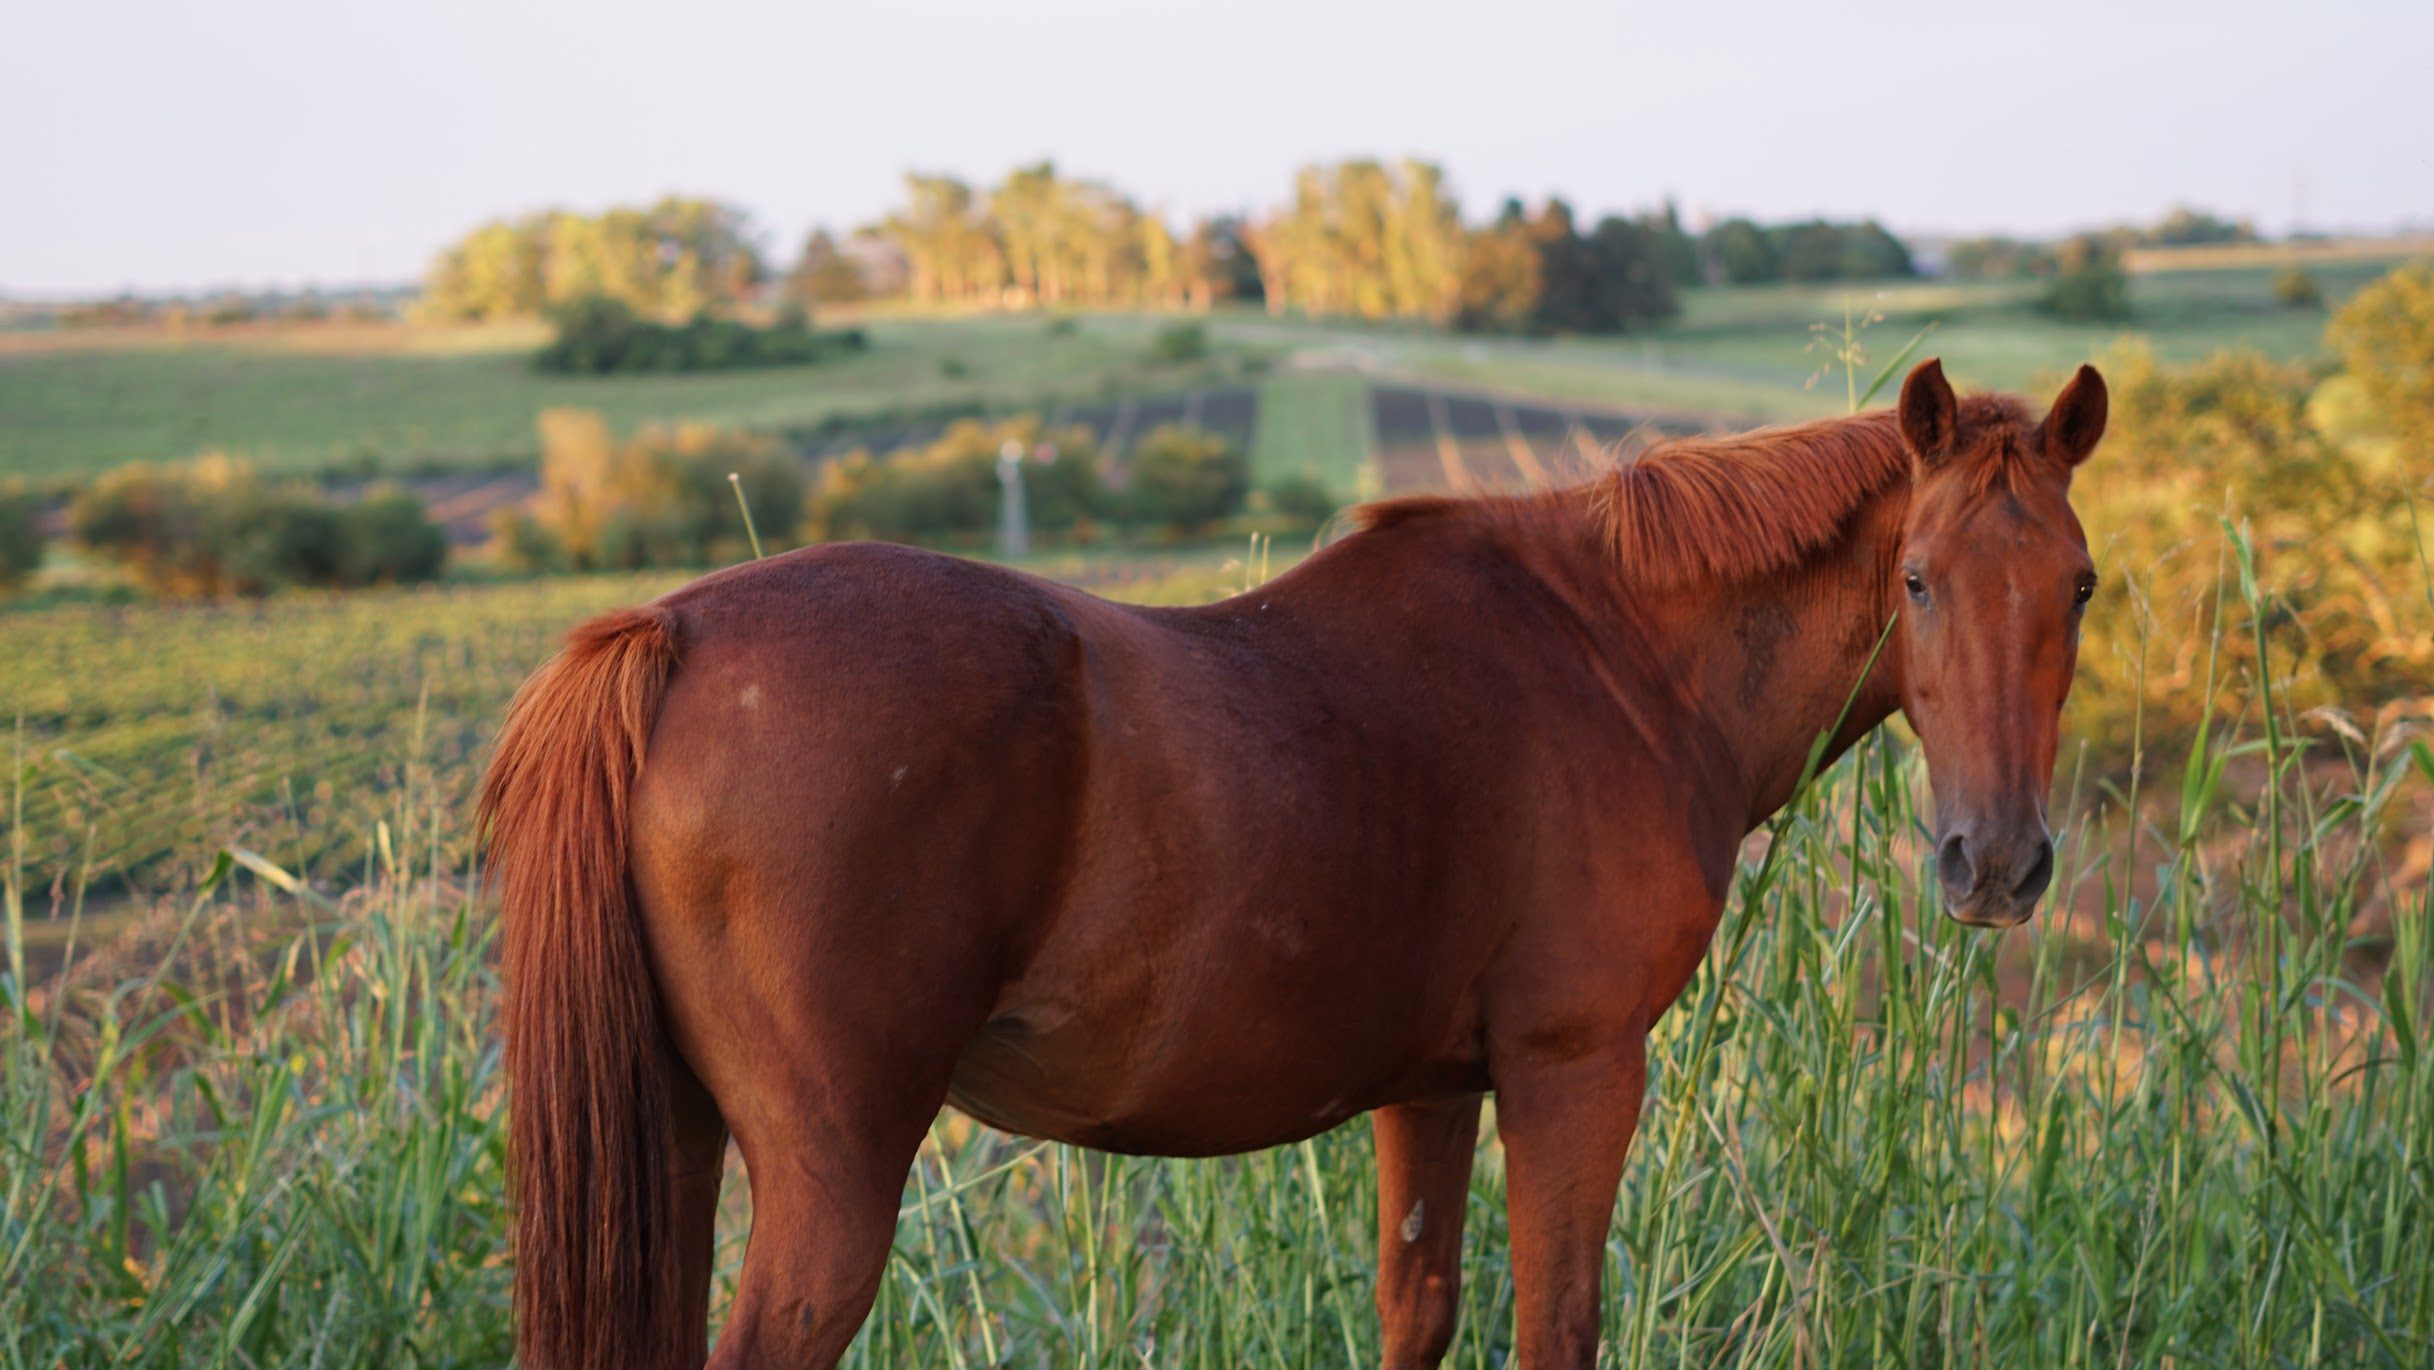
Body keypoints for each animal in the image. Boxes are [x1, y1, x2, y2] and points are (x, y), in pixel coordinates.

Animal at [479, 360, 2112, 1362]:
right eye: (1917, 579)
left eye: (2081, 585)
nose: (1996, 863)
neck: (1614, 653)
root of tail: (675, 633)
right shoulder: (1575, 1073)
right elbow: (1554, 1324)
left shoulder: (1430, 1090)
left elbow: (1419, 1308)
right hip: (826, 1183)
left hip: (679, 1145)